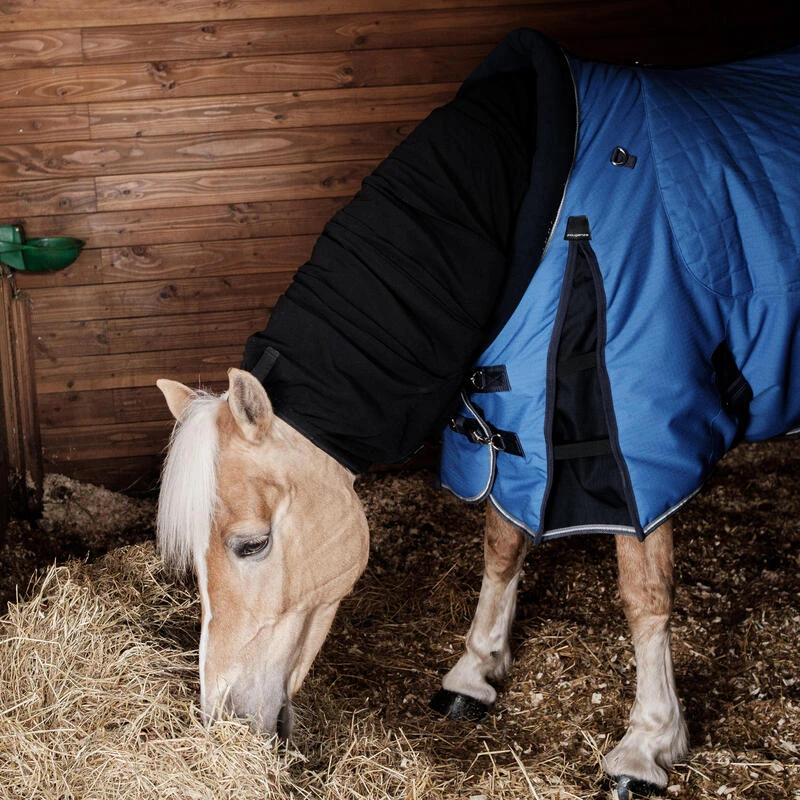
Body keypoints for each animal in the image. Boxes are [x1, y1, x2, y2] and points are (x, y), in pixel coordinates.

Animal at [156, 29, 800, 800]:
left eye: (250, 545)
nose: (220, 720)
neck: (534, 201)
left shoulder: (638, 444)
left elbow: (644, 592)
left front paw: (647, 743)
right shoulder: (507, 420)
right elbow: (502, 544)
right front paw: (476, 671)